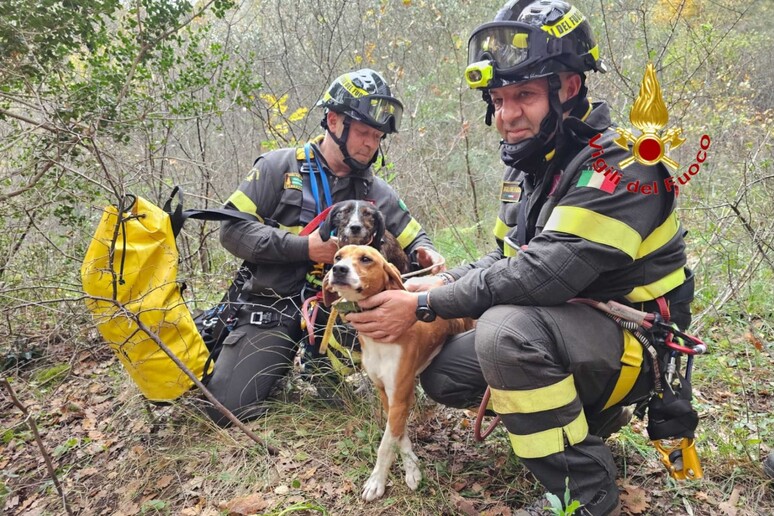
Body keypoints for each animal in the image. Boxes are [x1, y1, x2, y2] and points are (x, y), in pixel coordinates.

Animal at [322, 245, 472, 500]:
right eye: (337, 257)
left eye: (366, 259)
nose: (338, 269)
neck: (378, 342)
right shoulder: (388, 394)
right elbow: (398, 436)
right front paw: (412, 467)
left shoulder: (400, 395)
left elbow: (385, 445)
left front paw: (376, 482)